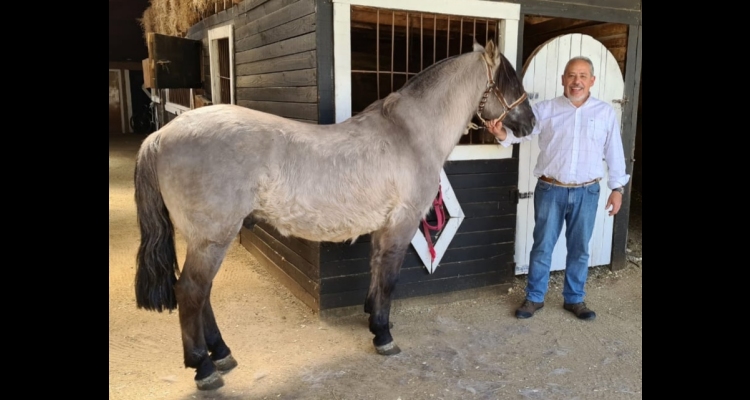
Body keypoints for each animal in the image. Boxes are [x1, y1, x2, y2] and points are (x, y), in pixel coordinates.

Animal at [134, 39, 536, 390]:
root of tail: (161, 137)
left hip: (207, 239)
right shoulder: (402, 224)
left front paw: (373, 319)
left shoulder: (382, 226)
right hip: (212, 238)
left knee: (202, 294)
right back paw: (203, 368)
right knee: (191, 292)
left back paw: (221, 353)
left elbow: (376, 271)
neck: (409, 134)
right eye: (511, 81)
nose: (531, 124)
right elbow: (389, 278)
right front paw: (384, 335)